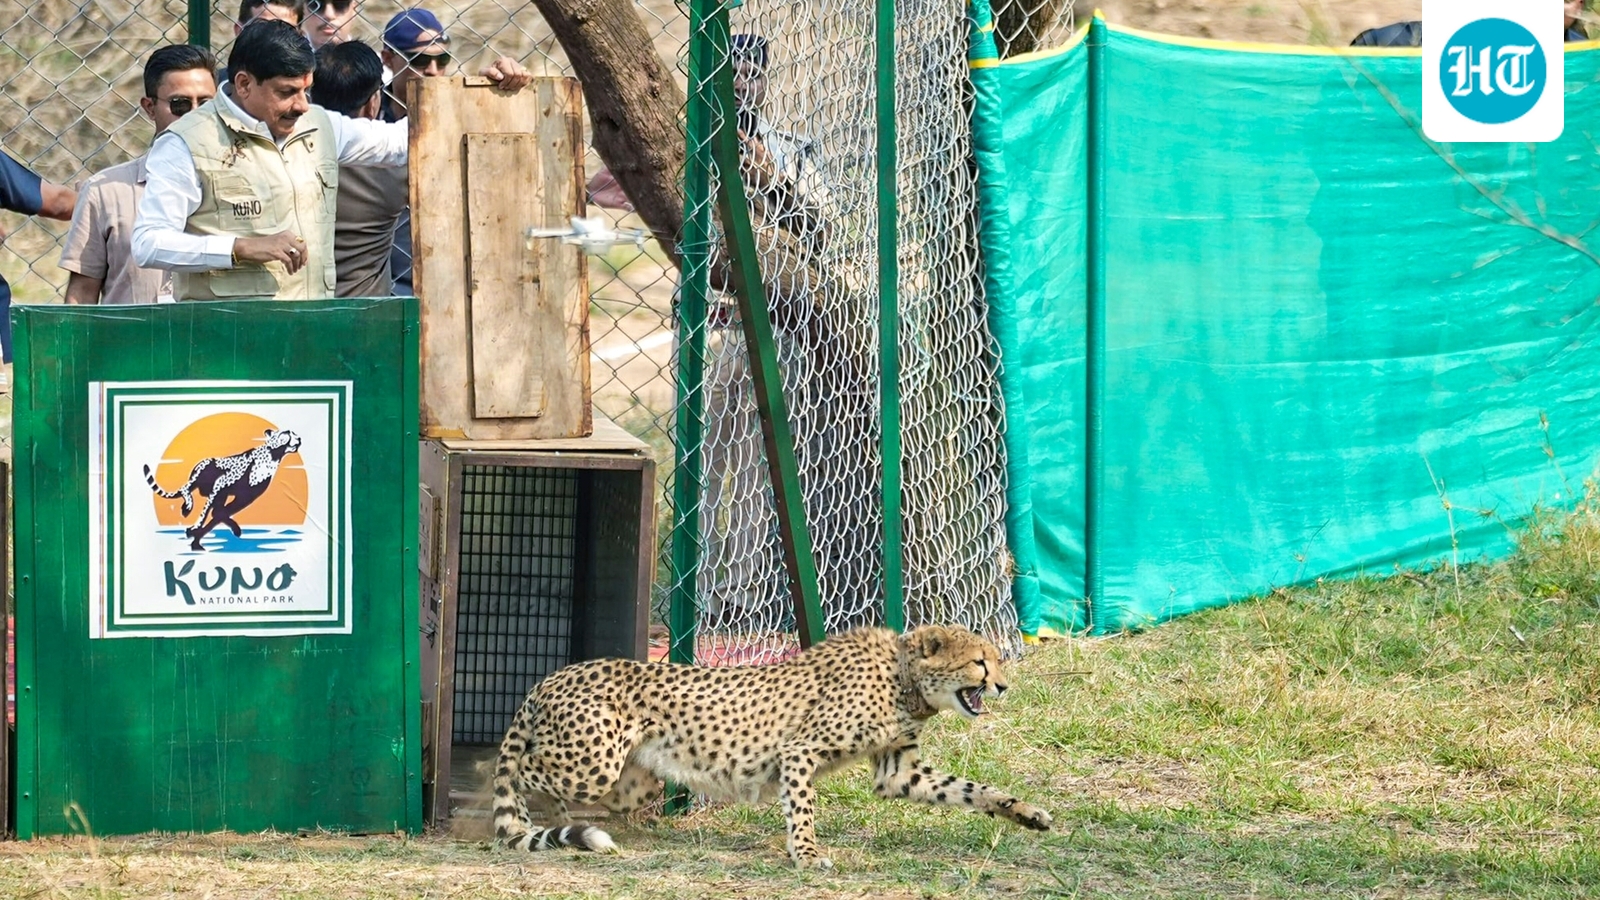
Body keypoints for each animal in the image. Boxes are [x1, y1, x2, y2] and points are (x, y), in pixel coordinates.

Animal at [143, 428, 303, 551]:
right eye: (287, 432)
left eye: (294, 433)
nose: (300, 438)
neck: (273, 455)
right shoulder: (220, 484)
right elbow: (206, 512)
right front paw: (195, 528)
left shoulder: (245, 496)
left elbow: (220, 513)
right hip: (205, 469)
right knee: (185, 488)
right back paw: (187, 505)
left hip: (220, 494)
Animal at [490, 624, 1052, 869]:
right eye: (980, 662)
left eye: (995, 660)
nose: (1004, 686)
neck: (903, 677)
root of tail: (554, 675)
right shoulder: (799, 751)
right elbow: (802, 809)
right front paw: (807, 854)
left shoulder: (898, 771)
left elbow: (972, 789)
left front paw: (1025, 812)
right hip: (592, 764)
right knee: (515, 766)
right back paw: (519, 817)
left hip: (631, 782)